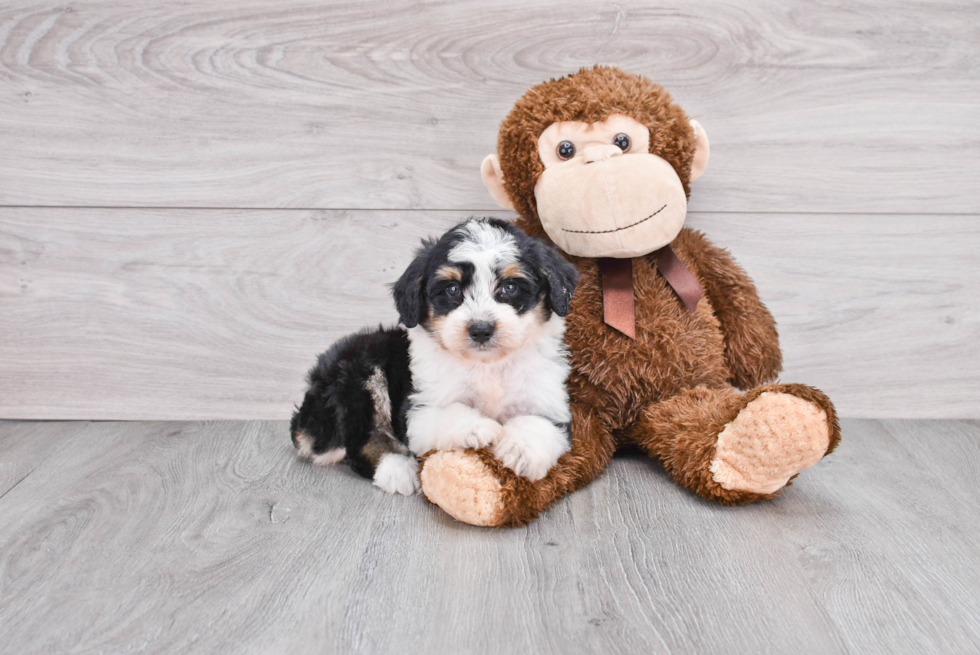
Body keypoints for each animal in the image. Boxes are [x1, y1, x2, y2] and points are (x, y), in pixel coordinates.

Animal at [294, 218, 580, 494]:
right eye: (453, 290)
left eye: (509, 287)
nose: (480, 329)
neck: (488, 365)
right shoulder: (420, 408)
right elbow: (449, 412)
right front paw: (479, 427)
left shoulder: (546, 399)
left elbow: (538, 424)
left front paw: (519, 450)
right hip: (361, 370)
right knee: (361, 440)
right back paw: (397, 469)